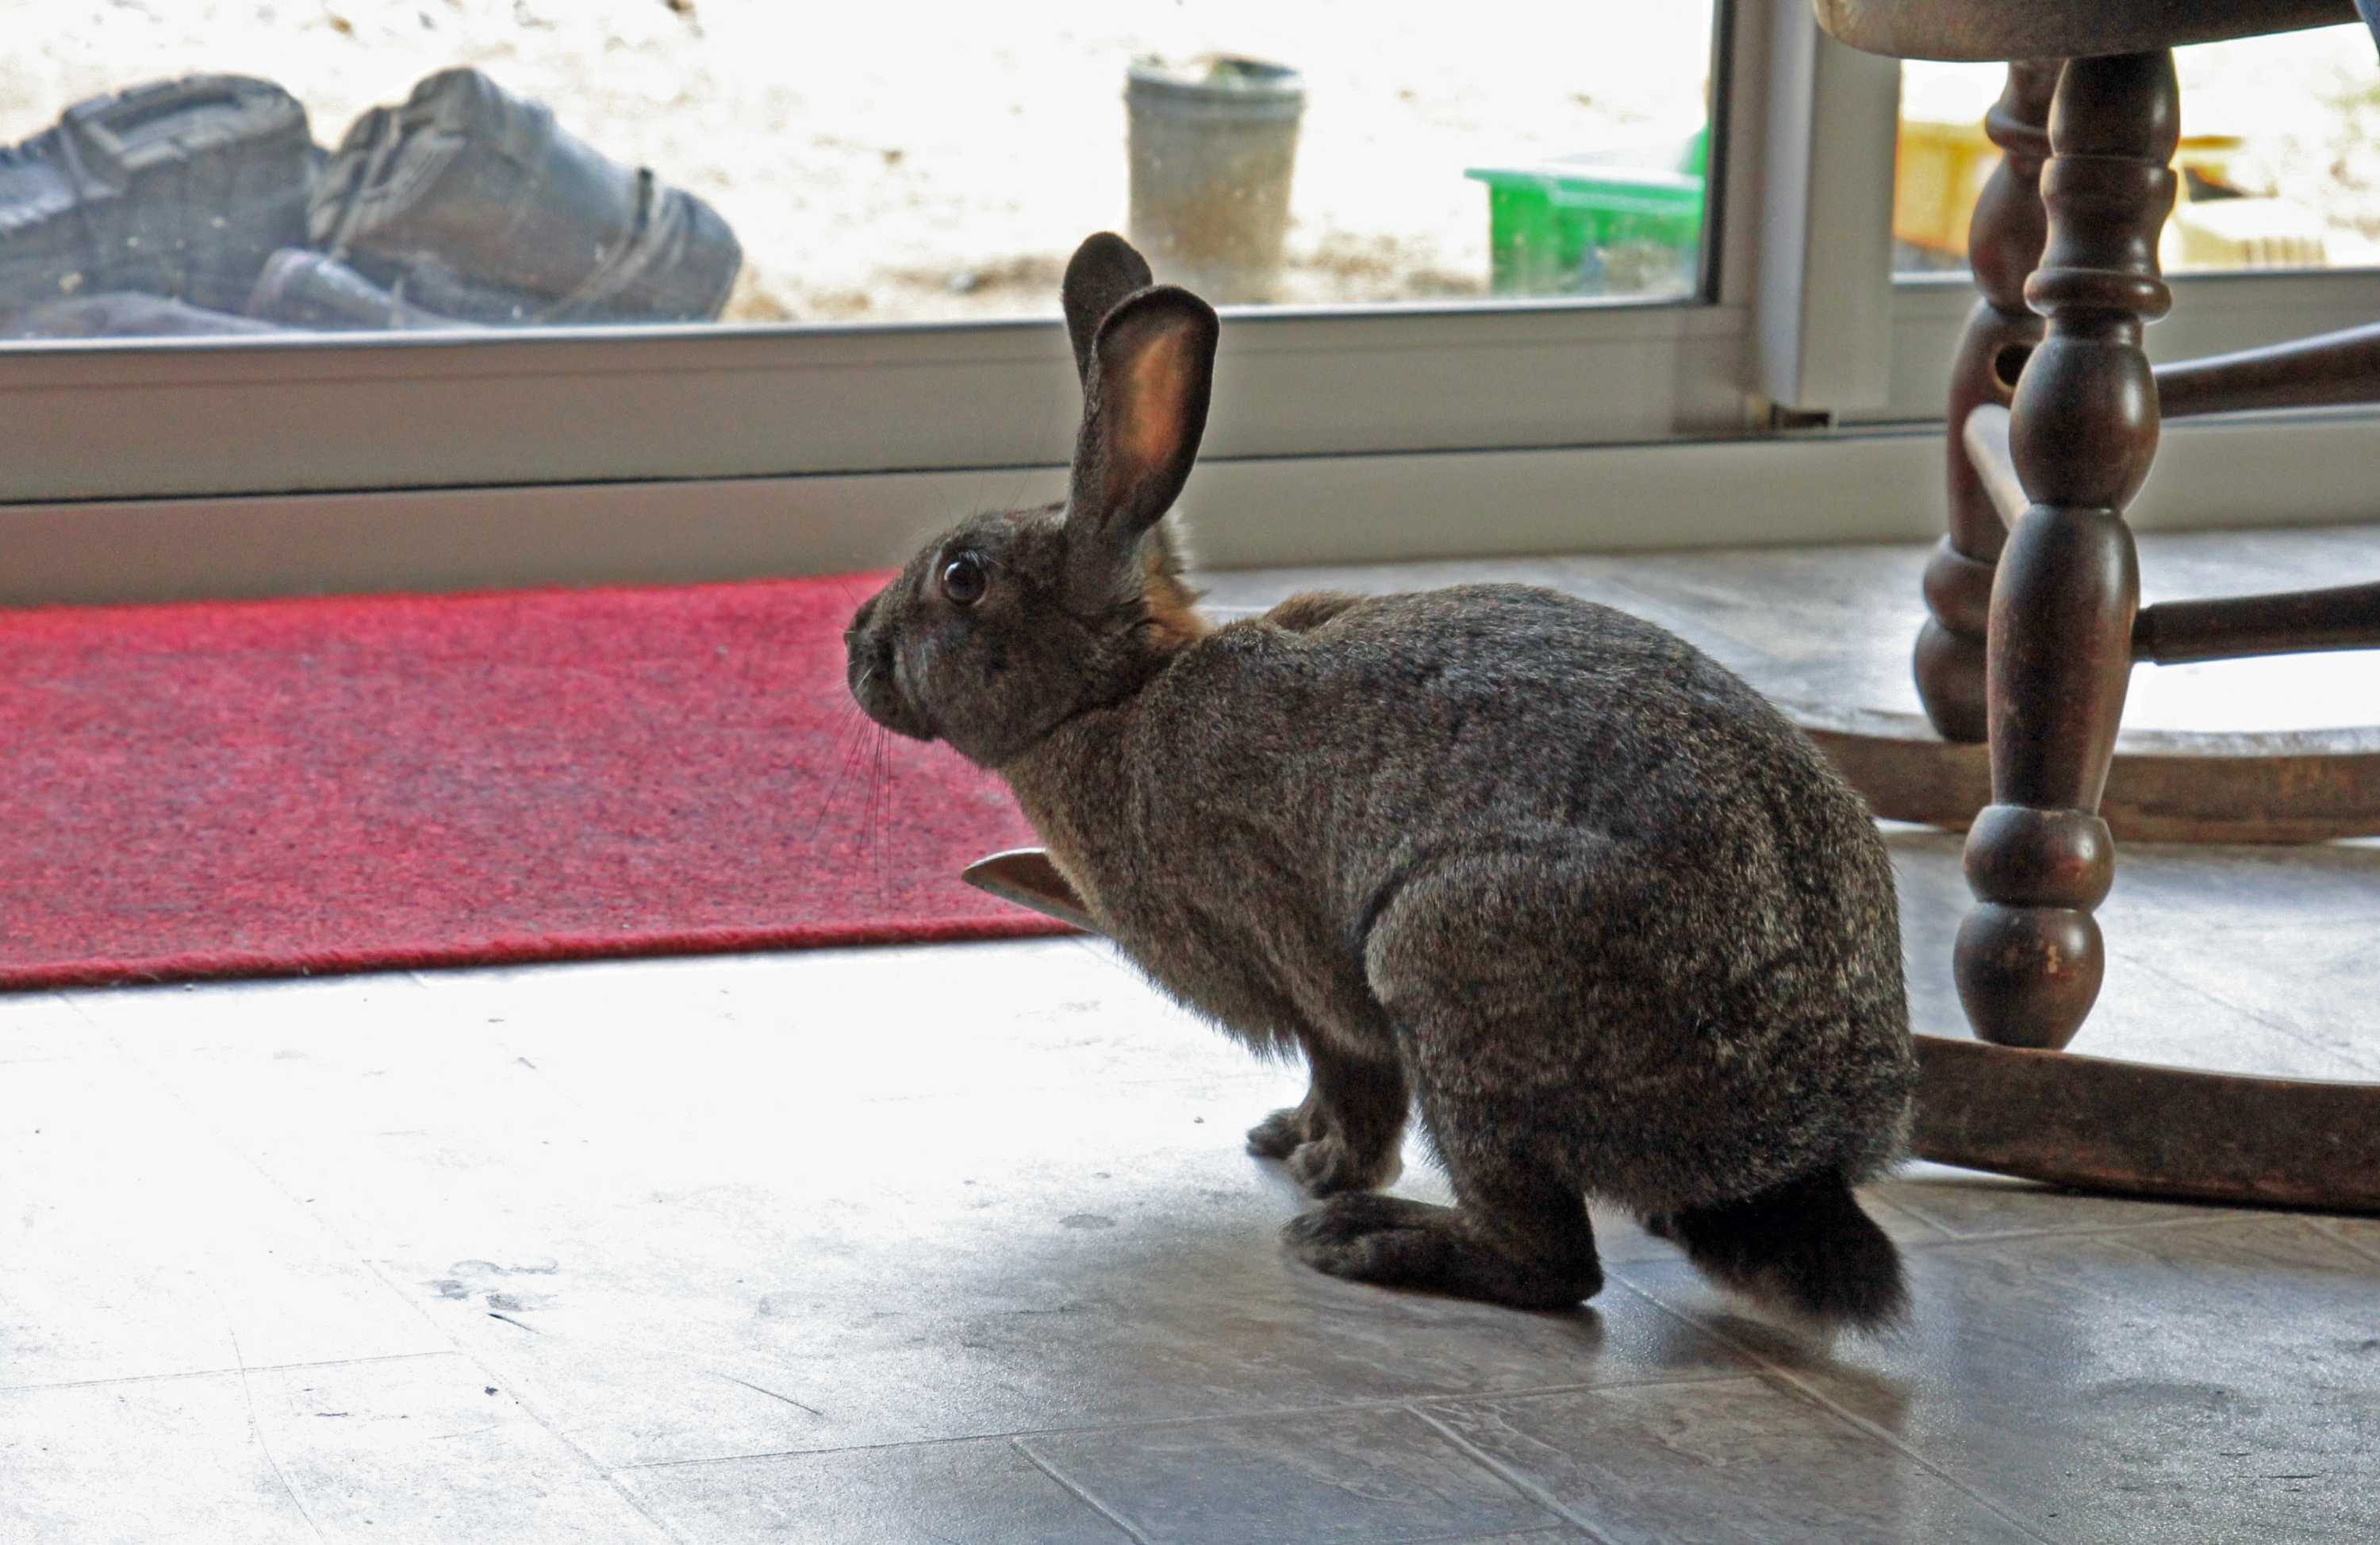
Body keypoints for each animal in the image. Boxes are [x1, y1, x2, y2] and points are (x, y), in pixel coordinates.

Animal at [845, 231, 1919, 1331]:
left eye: (963, 579)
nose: (855, 649)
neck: (1115, 696)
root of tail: (1798, 1129)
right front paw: (1286, 1137)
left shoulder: (1298, 958)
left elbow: (1354, 1075)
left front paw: (1327, 1170)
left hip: (1443, 961)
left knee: (1556, 1262)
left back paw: (1362, 1239)